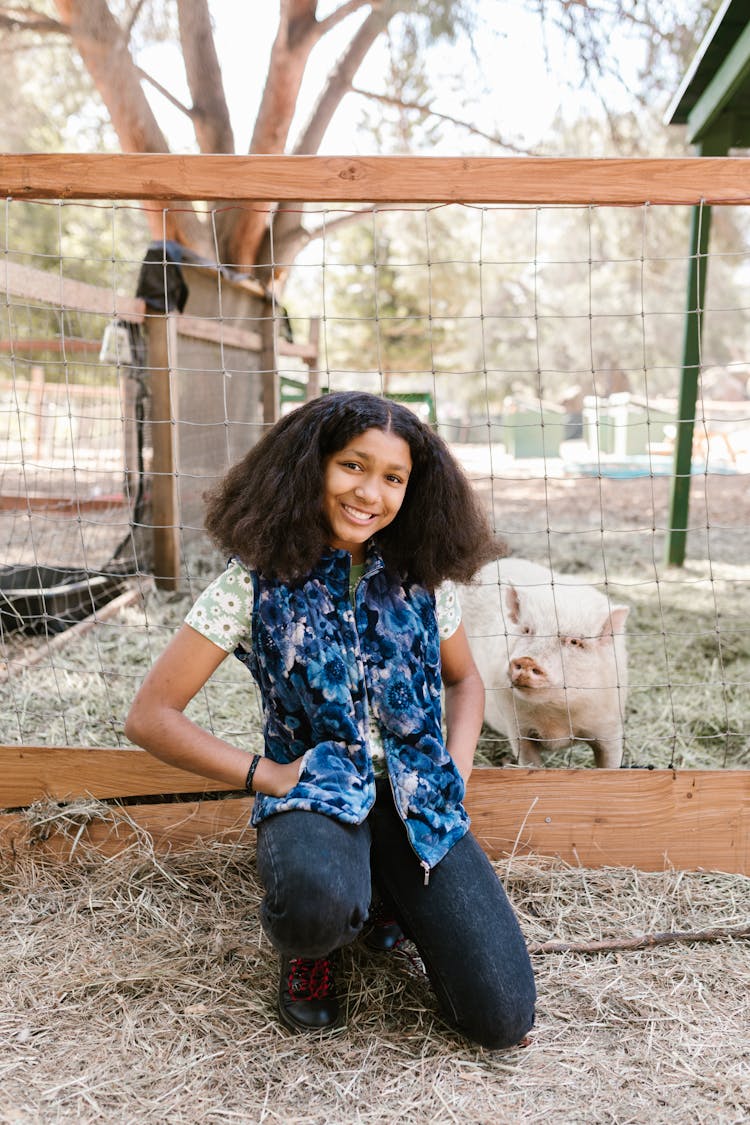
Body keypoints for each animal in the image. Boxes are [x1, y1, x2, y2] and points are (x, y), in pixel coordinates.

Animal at [461, 560, 629, 769]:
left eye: (574, 642)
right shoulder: (518, 729)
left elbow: (609, 762)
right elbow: (530, 763)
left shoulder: (610, 727)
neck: (554, 723)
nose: (527, 660)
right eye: (527, 630)